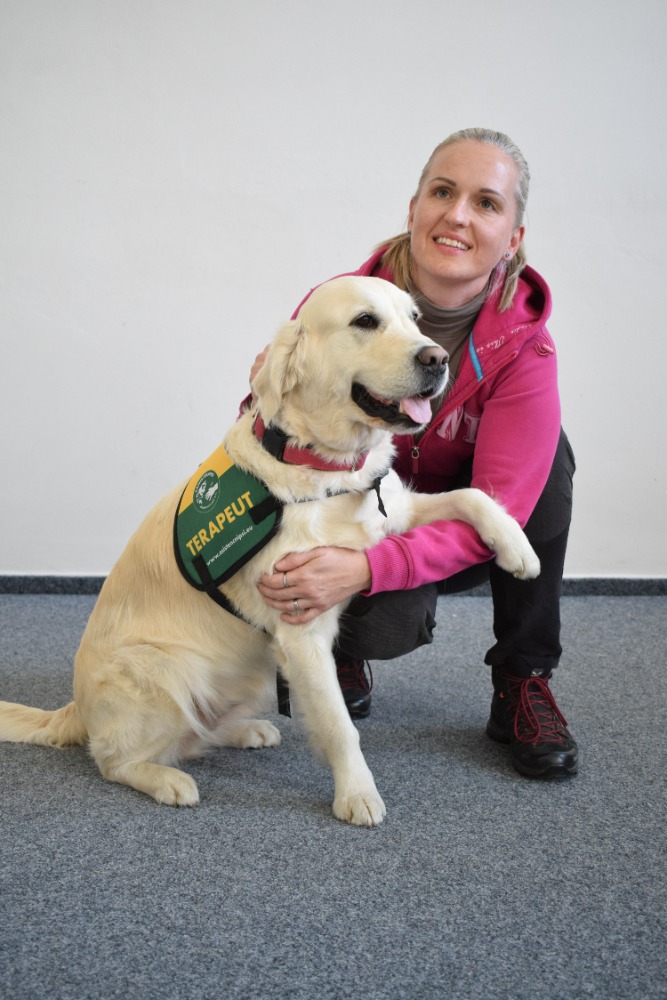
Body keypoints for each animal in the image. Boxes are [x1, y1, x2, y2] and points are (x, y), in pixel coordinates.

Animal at [0, 278, 544, 824]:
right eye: (365, 321)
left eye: (415, 319)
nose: (437, 359)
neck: (326, 468)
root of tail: (76, 708)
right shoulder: (301, 629)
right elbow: (340, 724)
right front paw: (357, 793)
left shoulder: (393, 512)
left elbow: (472, 495)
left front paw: (519, 549)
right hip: (161, 668)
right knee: (114, 759)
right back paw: (169, 781)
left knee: (195, 734)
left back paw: (246, 731)